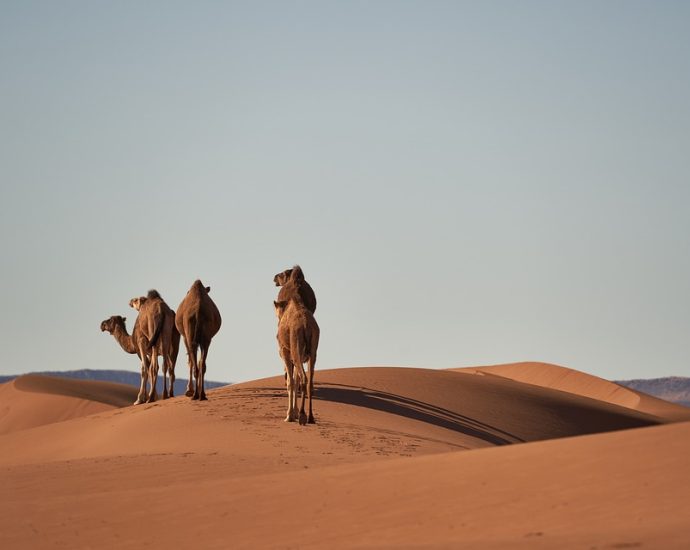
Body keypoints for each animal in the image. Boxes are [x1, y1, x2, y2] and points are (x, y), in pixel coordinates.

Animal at [272, 280, 318, 426]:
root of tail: (306, 325)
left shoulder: (286, 352)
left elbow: (290, 382)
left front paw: (290, 415)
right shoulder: (300, 356)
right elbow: (295, 381)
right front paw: (295, 413)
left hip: (296, 347)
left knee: (304, 379)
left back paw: (303, 416)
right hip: (312, 351)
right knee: (309, 381)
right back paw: (310, 417)